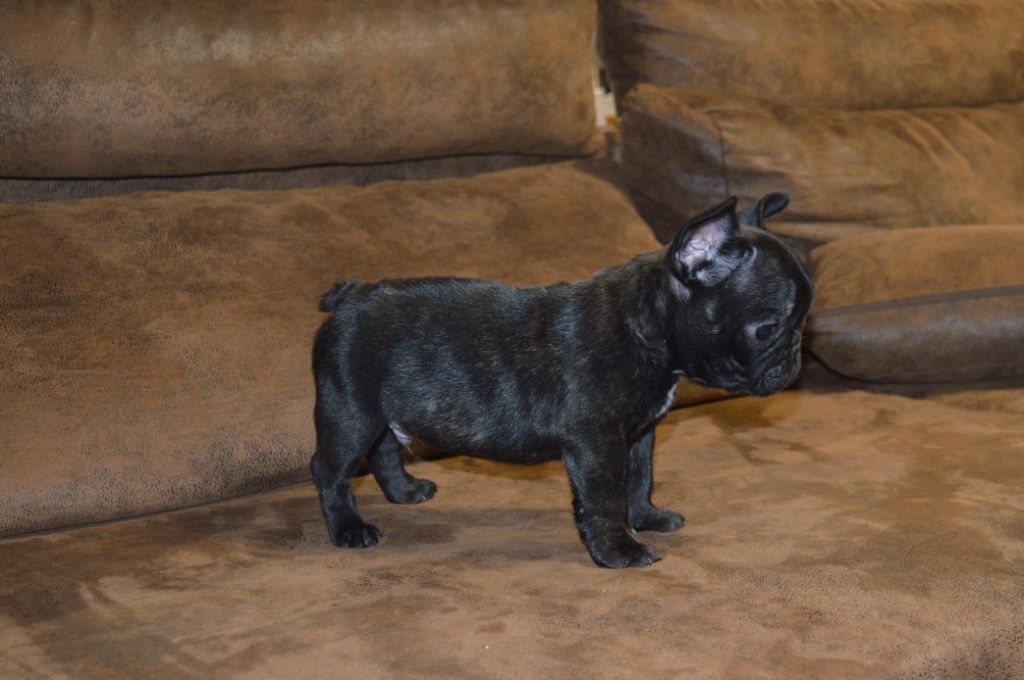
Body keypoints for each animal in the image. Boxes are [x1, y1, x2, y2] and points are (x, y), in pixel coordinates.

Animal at [310, 193, 813, 568]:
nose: (796, 355)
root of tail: (350, 295)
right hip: (351, 412)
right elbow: (605, 496)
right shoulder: (598, 443)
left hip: (384, 408)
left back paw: (406, 492)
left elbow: (640, 478)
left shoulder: (639, 433)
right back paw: (349, 529)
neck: (646, 327)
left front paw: (645, 518)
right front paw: (620, 551)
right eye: (767, 329)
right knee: (331, 470)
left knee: (384, 450)